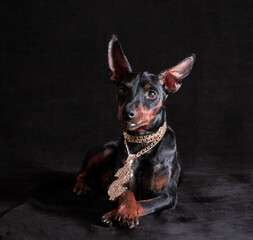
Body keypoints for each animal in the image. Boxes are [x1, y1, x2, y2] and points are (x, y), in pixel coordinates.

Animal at [73, 35, 196, 229]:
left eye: (152, 94)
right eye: (123, 88)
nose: (127, 113)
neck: (142, 143)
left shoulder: (168, 196)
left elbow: (144, 203)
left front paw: (117, 214)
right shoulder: (123, 184)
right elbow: (128, 194)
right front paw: (123, 211)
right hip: (106, 149)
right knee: (82, 172)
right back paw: (82, 185)